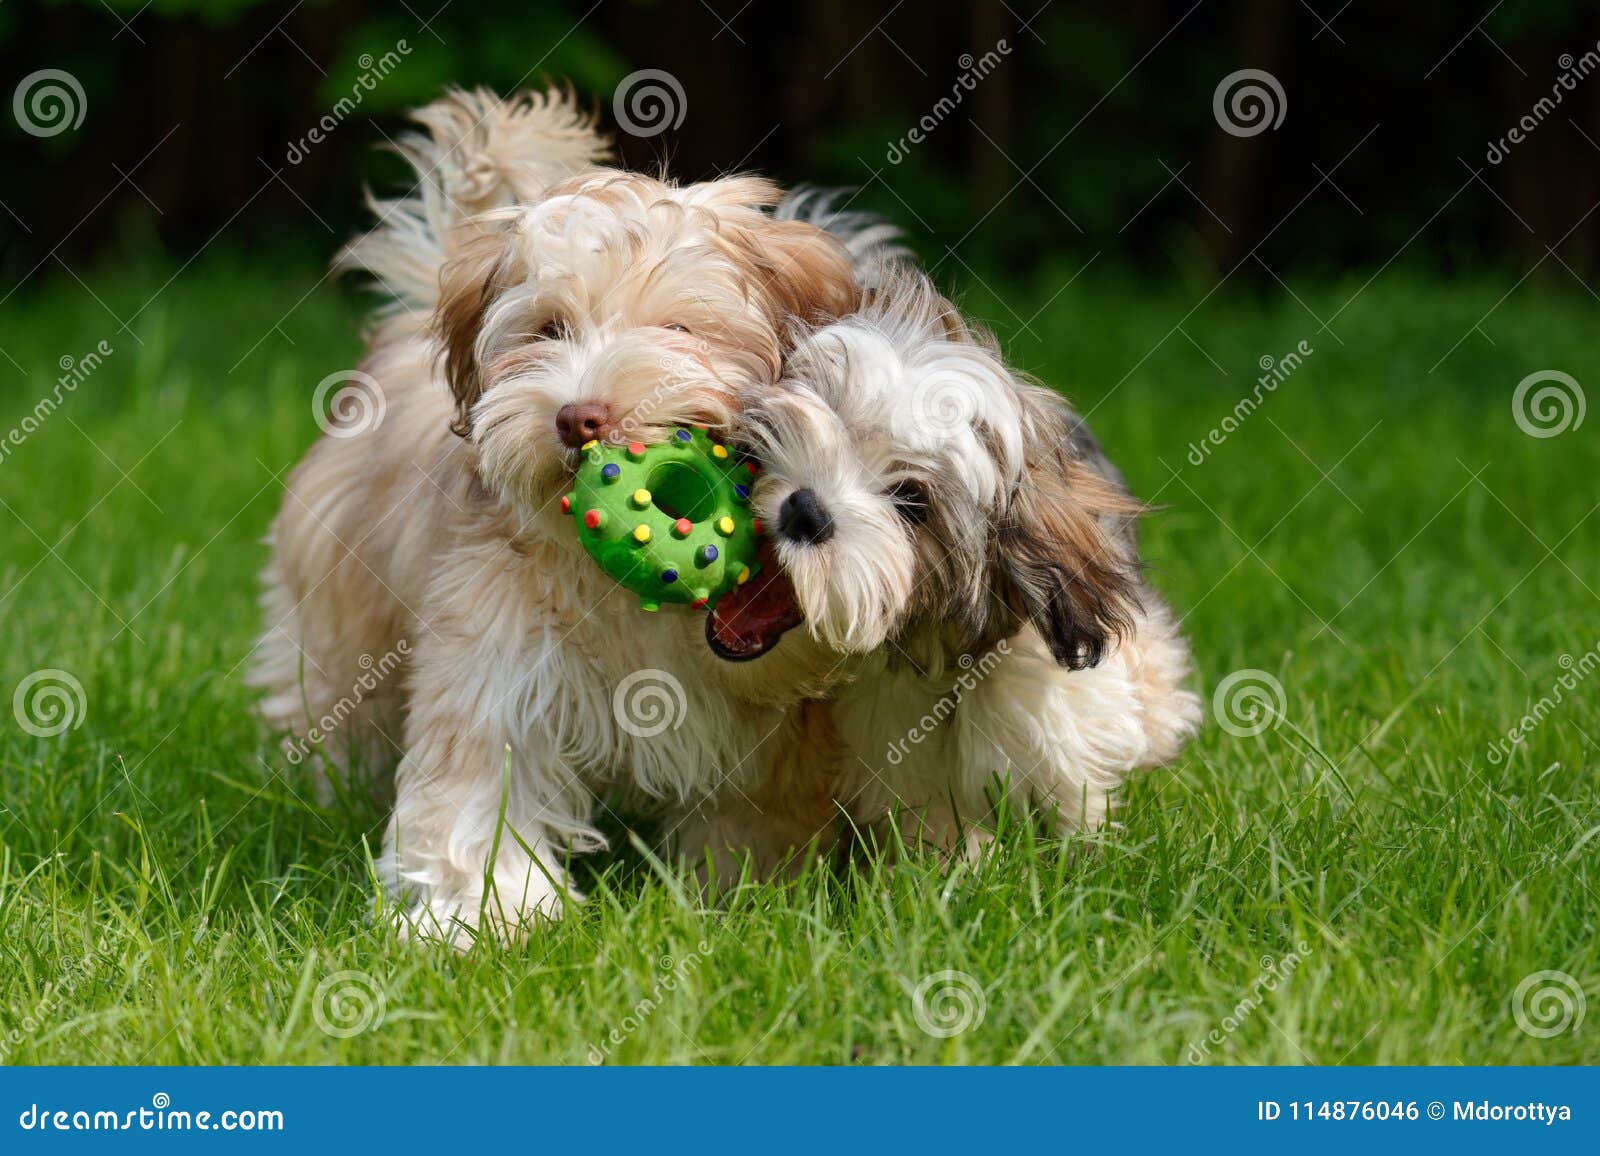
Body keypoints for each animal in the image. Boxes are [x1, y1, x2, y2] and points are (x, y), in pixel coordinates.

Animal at [251, 87, 870, 935]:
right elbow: (482, 783)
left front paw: (741, 898)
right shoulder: (495, 654)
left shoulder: (768, 729)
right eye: (547, 331)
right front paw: (484, 915)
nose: (580, 417)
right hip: (340, 607)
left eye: (677, 330)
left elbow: (753, 811)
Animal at [720, 265, 1203, 851]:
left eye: (913, 502)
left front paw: (1087, 849)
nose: (805, 510)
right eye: (827, 421)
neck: (938, 653)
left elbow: (1074, 789)